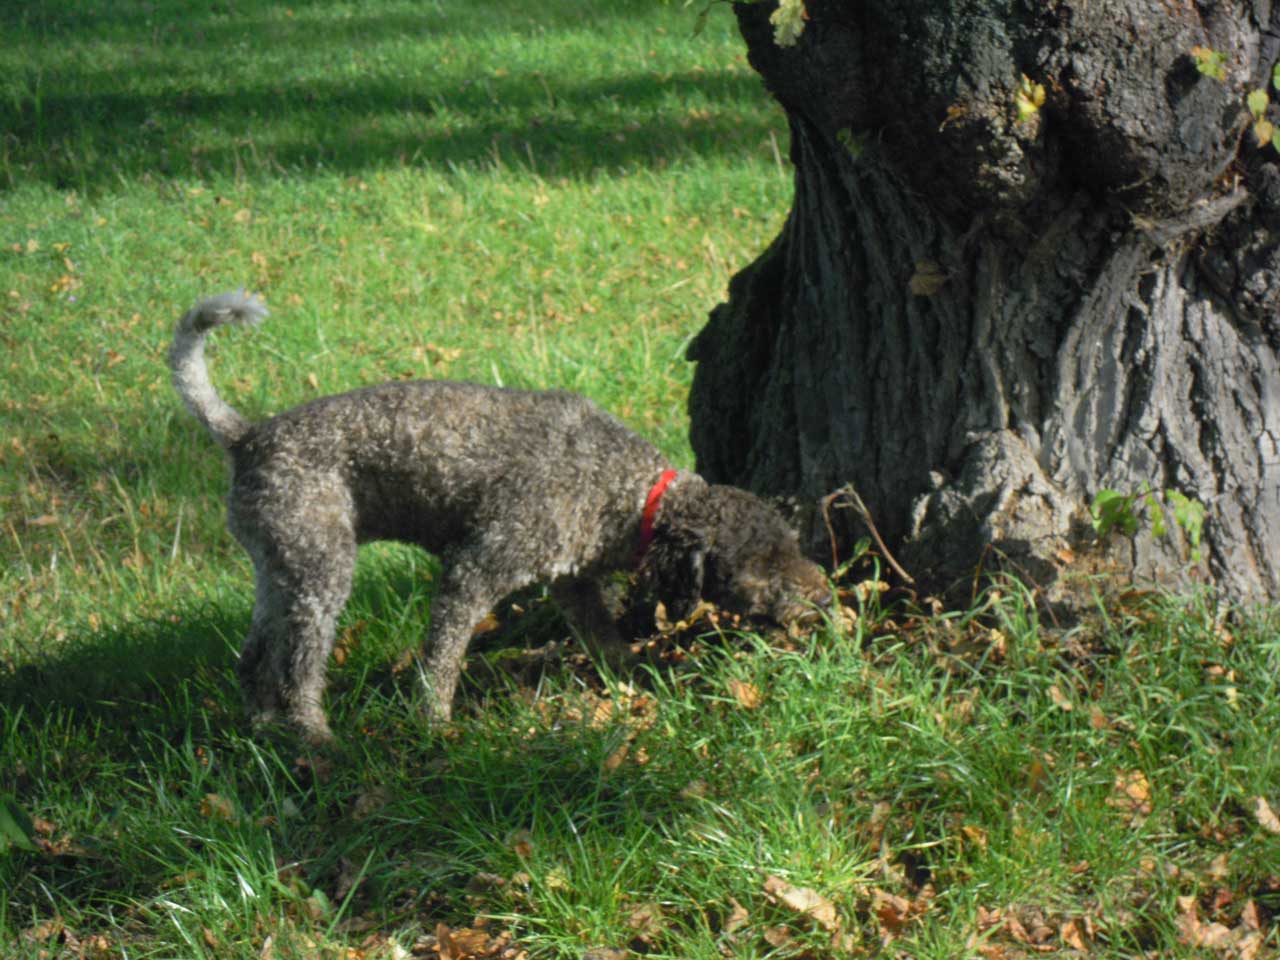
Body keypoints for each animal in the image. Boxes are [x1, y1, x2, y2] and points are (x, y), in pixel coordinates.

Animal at [172, 289, 829, 742]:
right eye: (759, 567)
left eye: (793, 544)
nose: (826, 597)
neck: (628, 491)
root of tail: (247, 435)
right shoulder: (472, 572)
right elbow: (440, 661)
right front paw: (435, 726)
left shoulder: (573, 583)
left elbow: (602, 636)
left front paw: (635, 679)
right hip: (321, 576)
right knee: (298, 670)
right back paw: (316, 739)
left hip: (279, 569)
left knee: (253, 658)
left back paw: (263, 728)